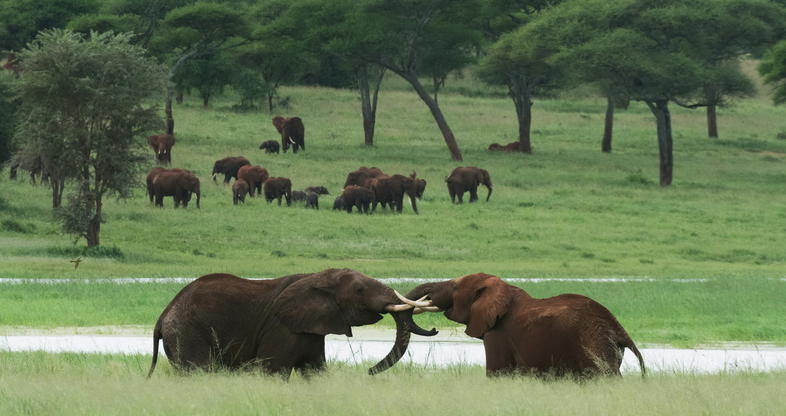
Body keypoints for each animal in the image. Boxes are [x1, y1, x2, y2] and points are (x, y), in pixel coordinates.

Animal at [147, 268, 437, 378]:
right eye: (359, 290)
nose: (368, 371)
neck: (317, 277)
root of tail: (163, 315)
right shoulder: (280, 327)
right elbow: (273, 372)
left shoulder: (311, 328)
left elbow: (315, 370)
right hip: (187, 333)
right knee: (199, 370)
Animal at [403, 273, 646, 378]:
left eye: (454, 287)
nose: (434, 330)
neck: (504, 289)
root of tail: (618, 328)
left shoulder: (498, 334)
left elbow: (497, 374)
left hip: (593, 344)